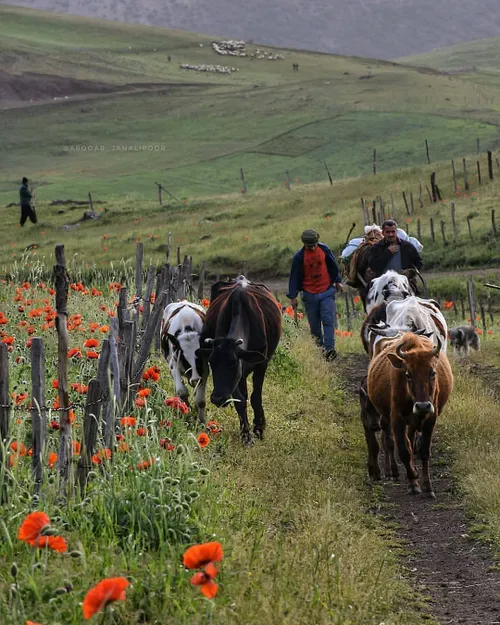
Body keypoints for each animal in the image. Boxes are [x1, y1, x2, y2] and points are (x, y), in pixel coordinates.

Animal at [200, 276, 286, 444]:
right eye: (211, 362)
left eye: (233, 363)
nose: (218, 398)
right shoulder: (238, 374)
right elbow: (240, 399)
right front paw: (246, 434)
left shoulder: (261, 364)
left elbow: (256, 397)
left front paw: (259, 428)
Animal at [368, 332, 454, 498]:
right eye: (408, 374)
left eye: (432, 372)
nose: (423, 406)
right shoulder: (397, 420)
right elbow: (403, 451)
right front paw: (413, 483)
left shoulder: (430, 420)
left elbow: (424, 451)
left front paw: (427, 486)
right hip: (389, 419)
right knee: (392, 441)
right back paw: (395, 471)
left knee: (410, 440)